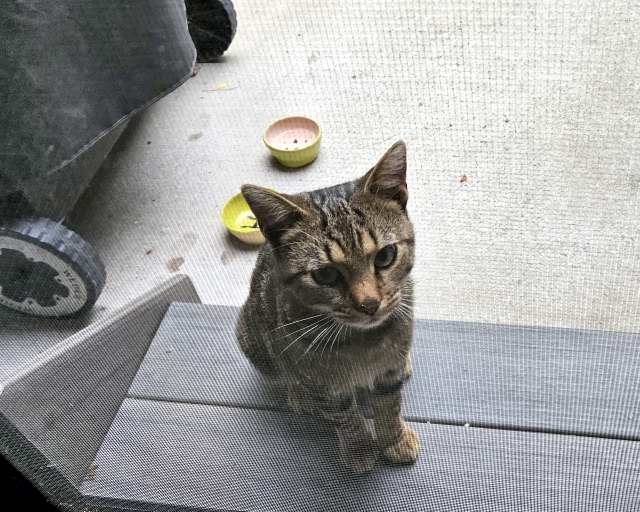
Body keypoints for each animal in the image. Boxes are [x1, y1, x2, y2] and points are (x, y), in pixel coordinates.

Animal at [236, 142, 420, 474]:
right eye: (325, 275)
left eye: (385, 256)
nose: (369, 304)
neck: (363, 342)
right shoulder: (323, 385)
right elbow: (345, 416)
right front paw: (360, 448)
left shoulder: (389, 373)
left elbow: (388, 405)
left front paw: (394, 440)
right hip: (250, 336)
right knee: (281, 374)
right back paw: (298, 394)